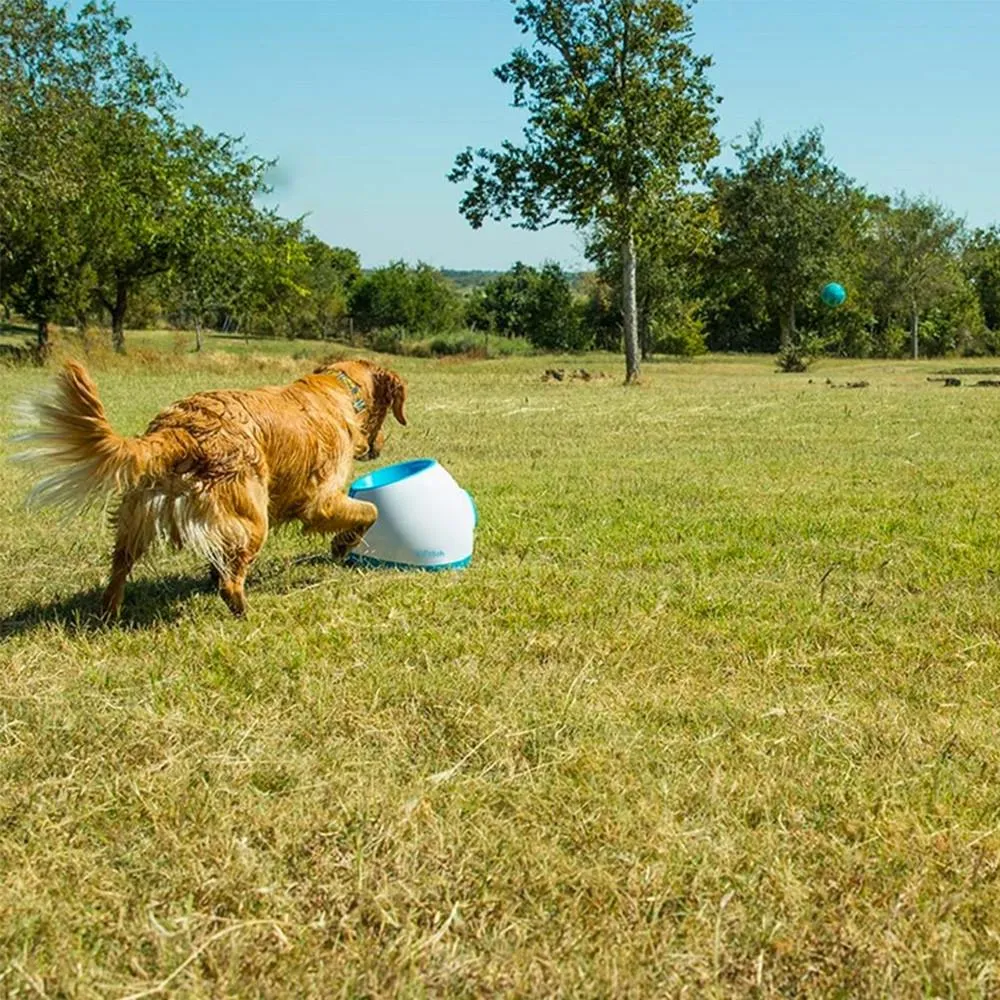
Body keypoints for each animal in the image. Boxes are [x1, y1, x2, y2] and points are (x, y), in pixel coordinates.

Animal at [15, 356, 406, 620]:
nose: (379, 446)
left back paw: (109, 613)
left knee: (120, 567)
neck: (340, 388)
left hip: (138, 516)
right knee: (231, 584)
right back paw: (245, 613)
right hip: (254, 520)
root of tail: (180, 427)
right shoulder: (321, 501)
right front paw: (342, 544)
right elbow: (369, 511)